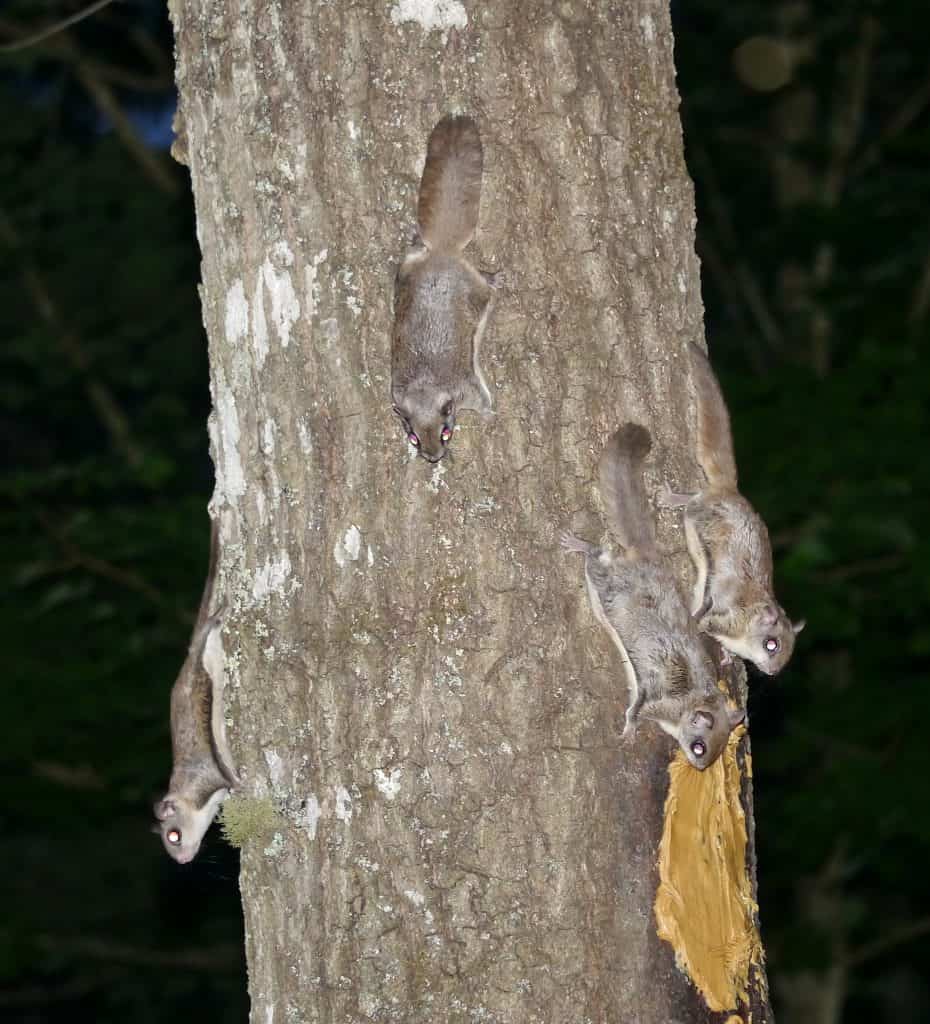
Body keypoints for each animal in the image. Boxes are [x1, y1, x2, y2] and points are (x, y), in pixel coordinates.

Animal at [391, 114, 501, 463]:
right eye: (413, 438)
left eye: (446, 433)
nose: (433, 458)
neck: (426, 387)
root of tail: (443, 251)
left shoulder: (467, 390)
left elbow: (482, 402)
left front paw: (491, 414)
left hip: (474, 292)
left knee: (486, 289)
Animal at [562, 424, 745, 771]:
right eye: (699, 747)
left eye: (716, 751)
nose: (700, 768)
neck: (693, 702)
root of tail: (646, 557)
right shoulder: (655, 699)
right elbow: (636, 709)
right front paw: (628, 731)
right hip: (608, 588)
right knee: (596, 556)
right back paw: (579, 545)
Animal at [659, 343, 804, 675]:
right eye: (771, 644)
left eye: (789, 653)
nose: (774, 672)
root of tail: (730, 491)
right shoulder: (725, 614)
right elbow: (704, 619)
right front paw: (695, 627)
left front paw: (727, 656)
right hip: (703, 513)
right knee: (692, 502)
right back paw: (672, 498)